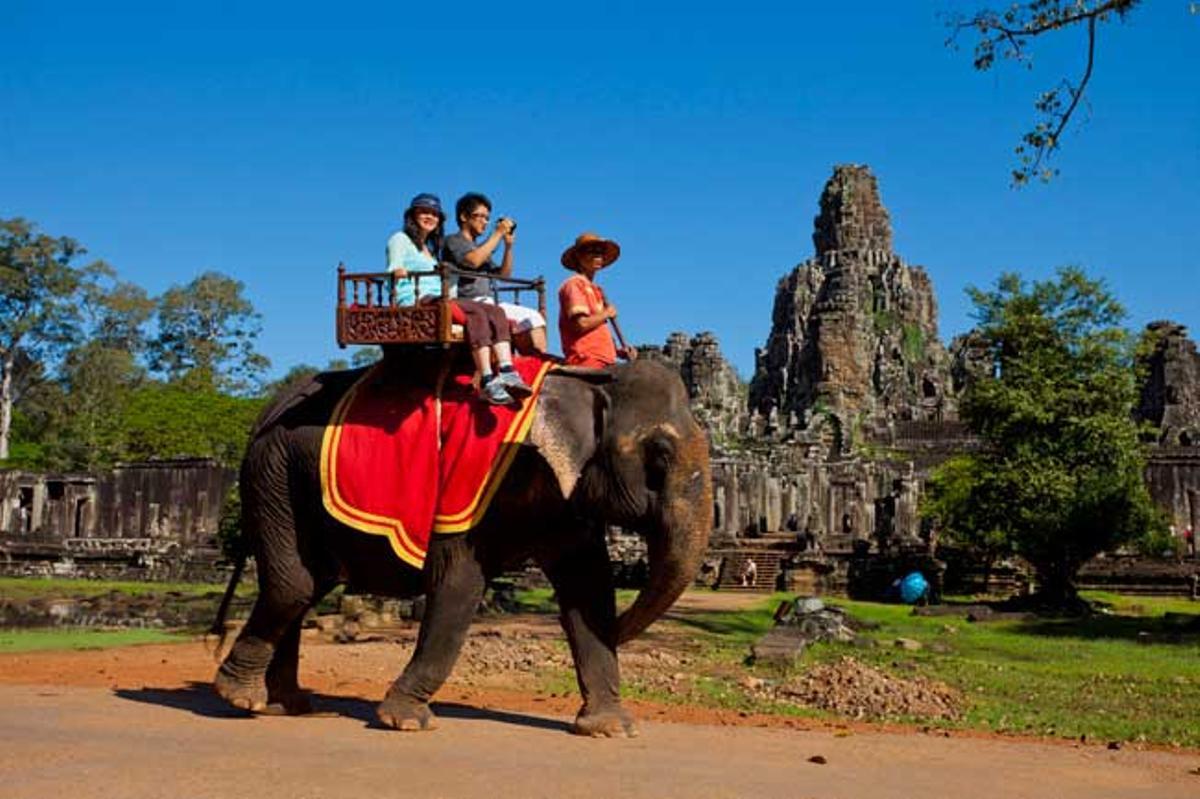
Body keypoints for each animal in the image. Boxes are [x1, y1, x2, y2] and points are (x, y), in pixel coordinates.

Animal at [211, 355, 713, 737]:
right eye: (660, 454)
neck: (584, 379)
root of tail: (265, 411)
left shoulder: (565, 496)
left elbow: (589, 589)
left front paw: (611, 729)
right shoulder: (471, 485)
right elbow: (459, 584)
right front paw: (405, 720)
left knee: (306, 585)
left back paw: (287, 703)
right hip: (274, 477)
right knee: (293, 585)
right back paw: (240, 696)